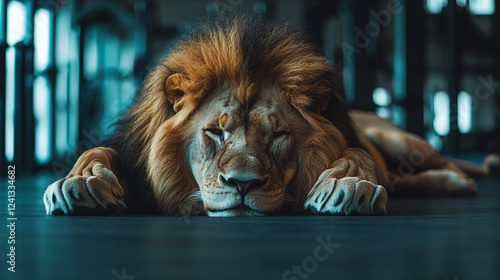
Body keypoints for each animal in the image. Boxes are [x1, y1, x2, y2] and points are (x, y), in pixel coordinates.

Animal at [43, 14, 496, 217]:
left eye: (277, 136)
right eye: (215, 133)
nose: (243, 185)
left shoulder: (356, 146)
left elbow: (357, 156)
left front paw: (347, 186)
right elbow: (96, 152)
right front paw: (79, 183)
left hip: (401, 140)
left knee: (440, 163)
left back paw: (458, 180)